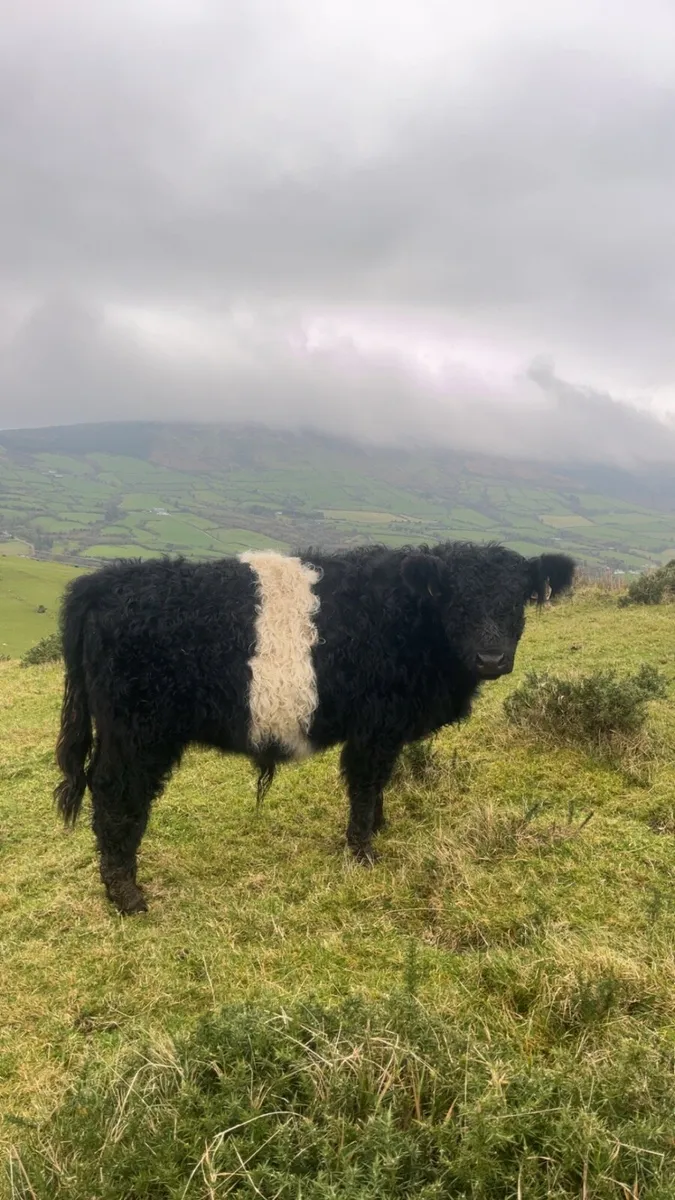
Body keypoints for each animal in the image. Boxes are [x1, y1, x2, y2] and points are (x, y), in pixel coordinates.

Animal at [54, 542, 575, 914]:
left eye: (517, 601)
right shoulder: (374, 727)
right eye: (456, 601)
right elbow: (364, 786)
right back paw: (127, 895)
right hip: (136, 733)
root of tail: (103, 582)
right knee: (115, 797)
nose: (491, 658)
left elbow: (379, 786)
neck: (411, 621)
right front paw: (363, 852)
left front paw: (378, 828)